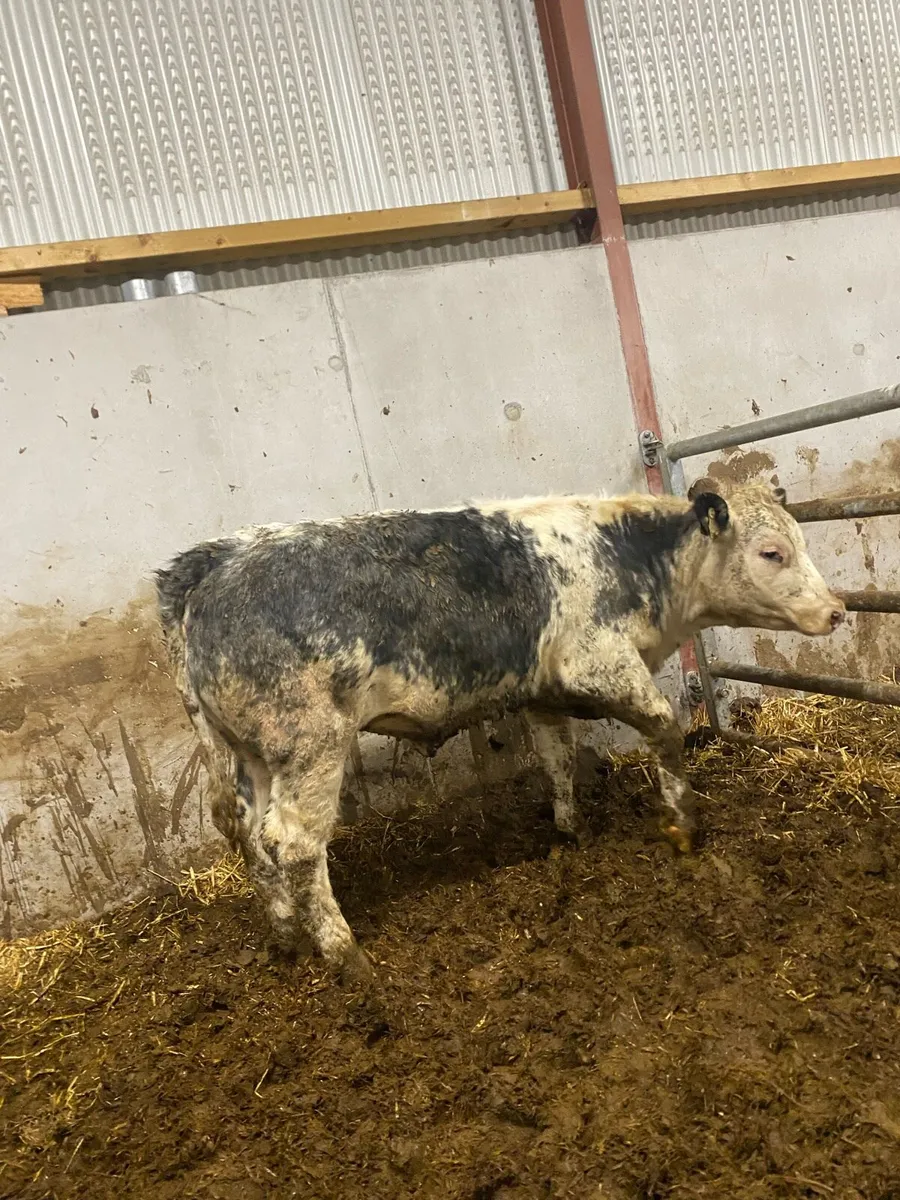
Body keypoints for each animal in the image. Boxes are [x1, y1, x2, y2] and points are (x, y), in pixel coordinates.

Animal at [155, 477, 844, 982]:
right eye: (772, 552)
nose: (836, 611)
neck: (627, 557)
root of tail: (211, 563)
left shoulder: (544, 695)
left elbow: (559, 759)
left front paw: (571, 831)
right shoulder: (602, 662)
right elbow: (665, 731)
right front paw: (683, 826)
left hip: (249, 755)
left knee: (251, 838)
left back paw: (286, 938)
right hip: (311, 744)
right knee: (294, 844)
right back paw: (347, 956)